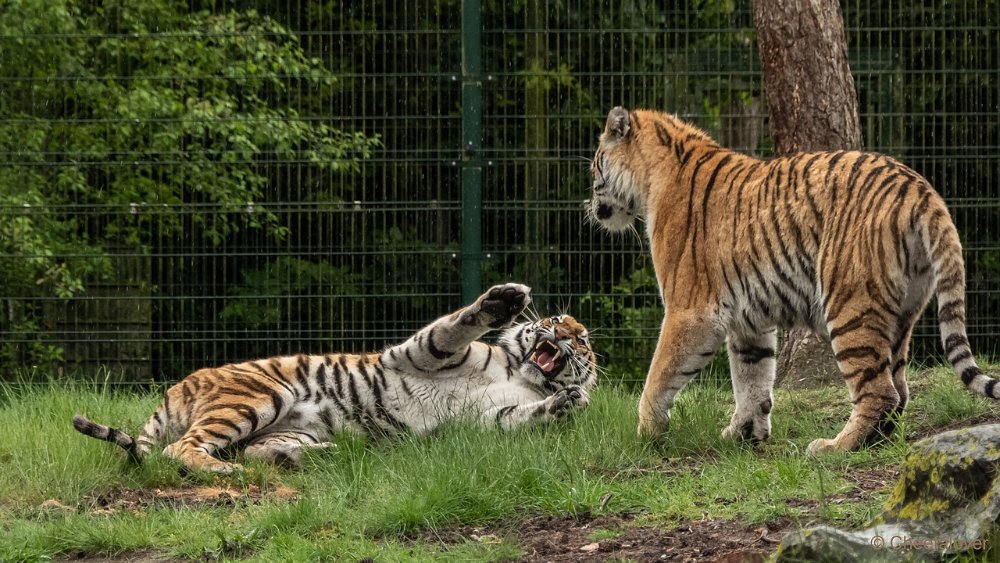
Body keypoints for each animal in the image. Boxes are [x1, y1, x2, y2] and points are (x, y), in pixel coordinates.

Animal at [78, 284, 596, 474]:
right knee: (180, 449)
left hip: (285, 426)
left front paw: (568, 402)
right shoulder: (425, 352)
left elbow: (518, 415)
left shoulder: (482, 418)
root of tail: (177, 385)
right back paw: (227, 471)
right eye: (557, 319)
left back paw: (323, 455)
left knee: (253, 449)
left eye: (583, 339)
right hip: (260, 394)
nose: (564, 331)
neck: (520, 372)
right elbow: (455, 324)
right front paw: (504, 300)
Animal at [584, 107, 1000, 454]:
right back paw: (876, 440)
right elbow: (752, 379)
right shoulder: (748, 321)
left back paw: (836, 447)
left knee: (878, 391)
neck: (652, 179)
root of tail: (919, 187)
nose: (588, 205)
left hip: (849, 303)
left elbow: (660, 375)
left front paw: (647, 433)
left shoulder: (691, 310)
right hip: (903, 312)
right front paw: (744, 433)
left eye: (594, 169)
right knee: (899, 388)